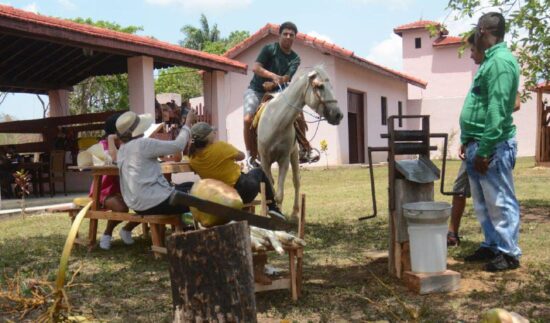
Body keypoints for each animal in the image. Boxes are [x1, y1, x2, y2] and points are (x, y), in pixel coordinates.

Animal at [258, 65, 342, 219]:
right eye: (320, 86)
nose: (338, 115)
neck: (275, 122)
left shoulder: (284, 159)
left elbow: (279, 194)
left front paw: (278, 213)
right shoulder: (265, 161)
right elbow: (269, 191)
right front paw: (268, 211)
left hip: (294, 154)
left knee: (296, 181)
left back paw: (295, 212)